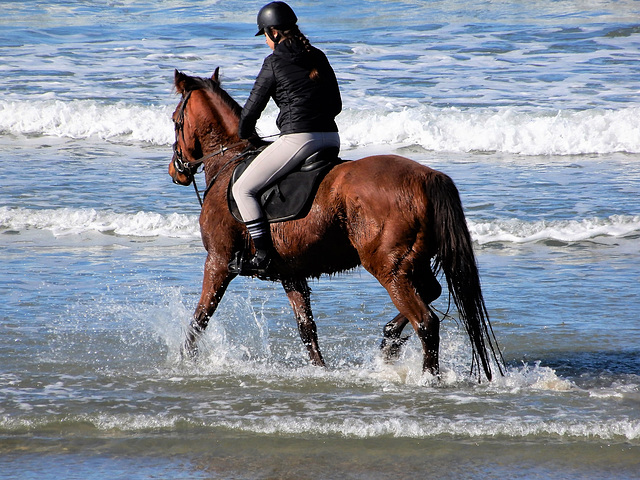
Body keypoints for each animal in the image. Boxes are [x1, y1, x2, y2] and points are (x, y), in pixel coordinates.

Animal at [168, 68, 502, 382]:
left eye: (174, 120)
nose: (176, 170)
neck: (230, 162)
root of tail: (426, 176)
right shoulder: (291, 273)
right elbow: (307, 328)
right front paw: (320, 370)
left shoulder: (219, 262)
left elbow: (200, 318)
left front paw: (185, 361)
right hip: (411, 262)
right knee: (430, 293)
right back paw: (389, 341)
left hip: (388, 268)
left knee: (426, 321)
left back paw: (426, 375)